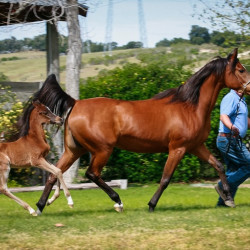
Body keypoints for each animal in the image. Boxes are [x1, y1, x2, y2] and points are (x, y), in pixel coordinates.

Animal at [34, 47, 250, 214]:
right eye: (241, 69)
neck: (189, 107)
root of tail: (76, 103)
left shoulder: (196, 146)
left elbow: (219, 165)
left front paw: (228, 198)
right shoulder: (178, 149)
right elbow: (165, 178)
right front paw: (152, 205)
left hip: (74, 150)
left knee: (54, 173)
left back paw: (39, 207)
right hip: (102, 150)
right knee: (92, 174)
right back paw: (118, 202)